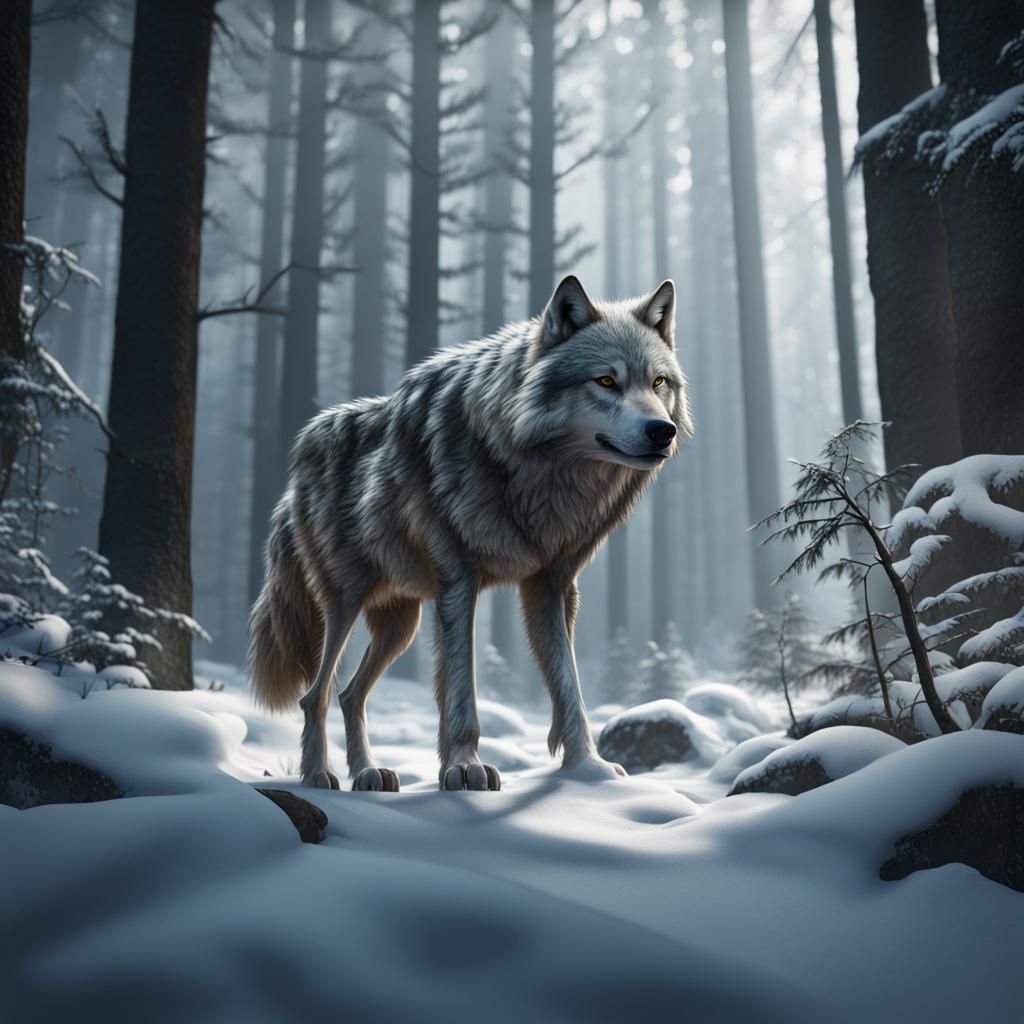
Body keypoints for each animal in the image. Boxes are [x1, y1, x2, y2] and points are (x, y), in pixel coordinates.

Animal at [248, 275, 693, 791]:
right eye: (606, 380)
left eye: (658, 382)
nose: (662, 430)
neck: (536, 473)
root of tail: (295, 468)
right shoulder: (458, 581)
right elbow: (461, 691)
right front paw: (463, 767)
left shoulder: (551, 585)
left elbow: (569, 687)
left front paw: (588, 769)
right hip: (344, 603)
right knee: (315, 695)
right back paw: (319, 774)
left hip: (400, 625)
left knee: (350, 694)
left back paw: (368, 773)